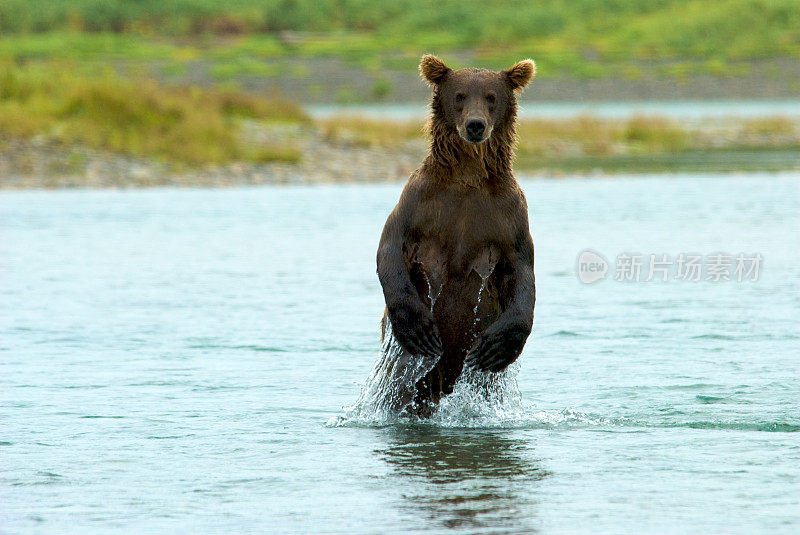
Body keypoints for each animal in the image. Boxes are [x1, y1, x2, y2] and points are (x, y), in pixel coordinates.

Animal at [372, 55, 536, 418]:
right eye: (459, 95)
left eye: (491, 96)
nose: (475, 125)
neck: (467, 176)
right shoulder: (420, 203)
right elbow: (390, 249)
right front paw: (416, 325)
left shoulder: (508, 217)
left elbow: (521, 271)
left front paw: (502, 344)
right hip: (404, 364)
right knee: (400, 388)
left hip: (477, 375)